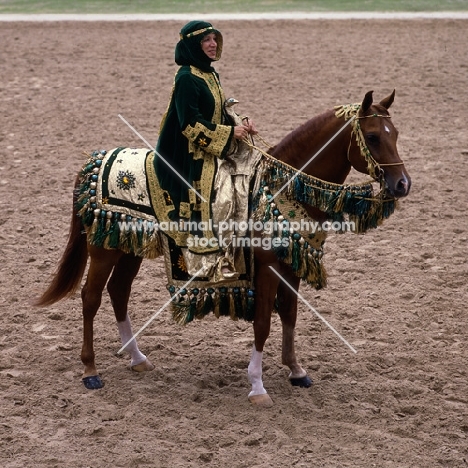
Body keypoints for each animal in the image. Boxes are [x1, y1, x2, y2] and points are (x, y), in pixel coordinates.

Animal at [35, 90, 410, 406]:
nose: (402, 184)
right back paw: (90, 371)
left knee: (119, 292)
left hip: (129, 249)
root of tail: (95, 160)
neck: (279, 187)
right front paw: (257, 386)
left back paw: (137, 358)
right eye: (373, 137)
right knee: (91, 298)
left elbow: (290, 315)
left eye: (395, 134)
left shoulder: (291, 267)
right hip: (103, 250)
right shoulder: (267, 270)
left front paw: (296, 370)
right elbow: (263, 323)